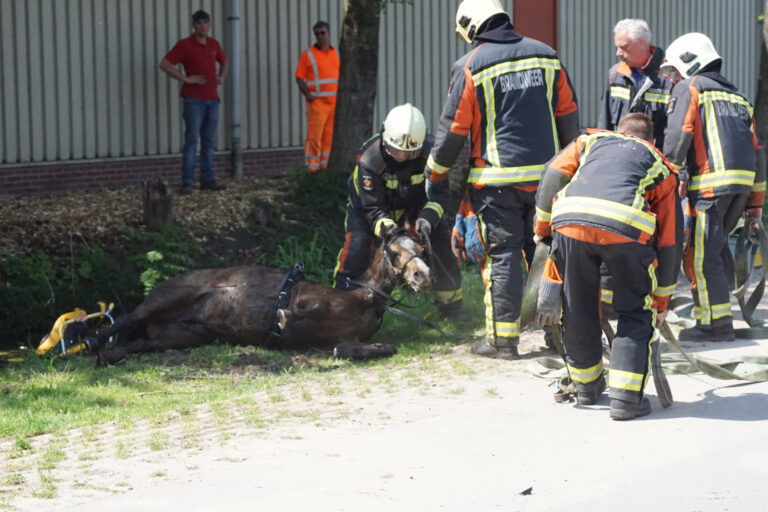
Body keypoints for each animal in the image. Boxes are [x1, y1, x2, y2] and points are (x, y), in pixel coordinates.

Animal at [92, 232, 428, 364]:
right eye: (394, 252)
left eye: (421, 250)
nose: (422, 275)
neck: (364, 297)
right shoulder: (308, 299)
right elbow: (297, 310)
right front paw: (281, 318)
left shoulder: (347, 340)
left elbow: (374, 349)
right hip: (164, 299)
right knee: (125, 318)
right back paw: (93, 340)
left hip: (181, 336)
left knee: (139, 344)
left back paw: (109, 354)